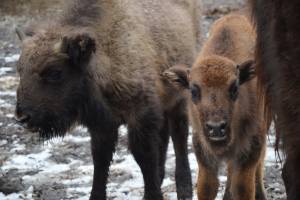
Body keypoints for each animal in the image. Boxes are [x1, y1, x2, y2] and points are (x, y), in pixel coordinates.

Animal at [14, 0, 202, 200]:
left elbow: (144, 158)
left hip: (179, 100)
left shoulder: (141, 117)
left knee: (179, 138)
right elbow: (101, 160)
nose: (22, 117)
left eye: (55, 72)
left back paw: (184, 190)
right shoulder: (102, 125)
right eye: (20, 69)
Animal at [163, 14, 266, 200]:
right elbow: (207, 187)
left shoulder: (251, 150)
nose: (216, 128)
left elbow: (243, 187)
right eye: (193, 90)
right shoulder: (203, 154)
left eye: (235, 87)